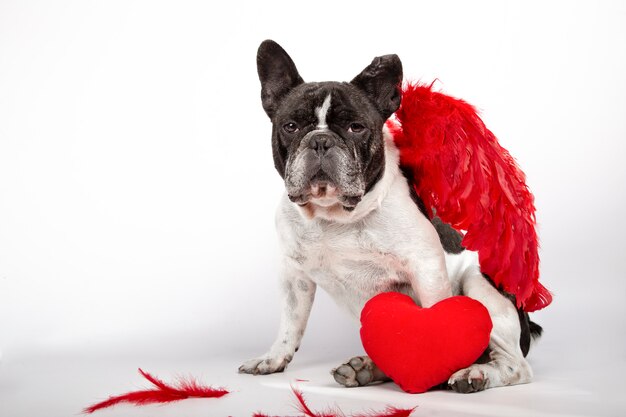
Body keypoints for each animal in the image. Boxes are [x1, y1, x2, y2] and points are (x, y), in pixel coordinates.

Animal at [236, 38, 540, 390]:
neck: (335, 217)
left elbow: (437, 316)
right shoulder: (294, 275)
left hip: (481, 286)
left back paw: (476, 374)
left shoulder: (426, 266)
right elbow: (291, 322)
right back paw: (367, 369)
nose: (321, 140)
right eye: (291, 126)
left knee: (515, 364)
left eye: (356, 127)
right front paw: (273, 359)